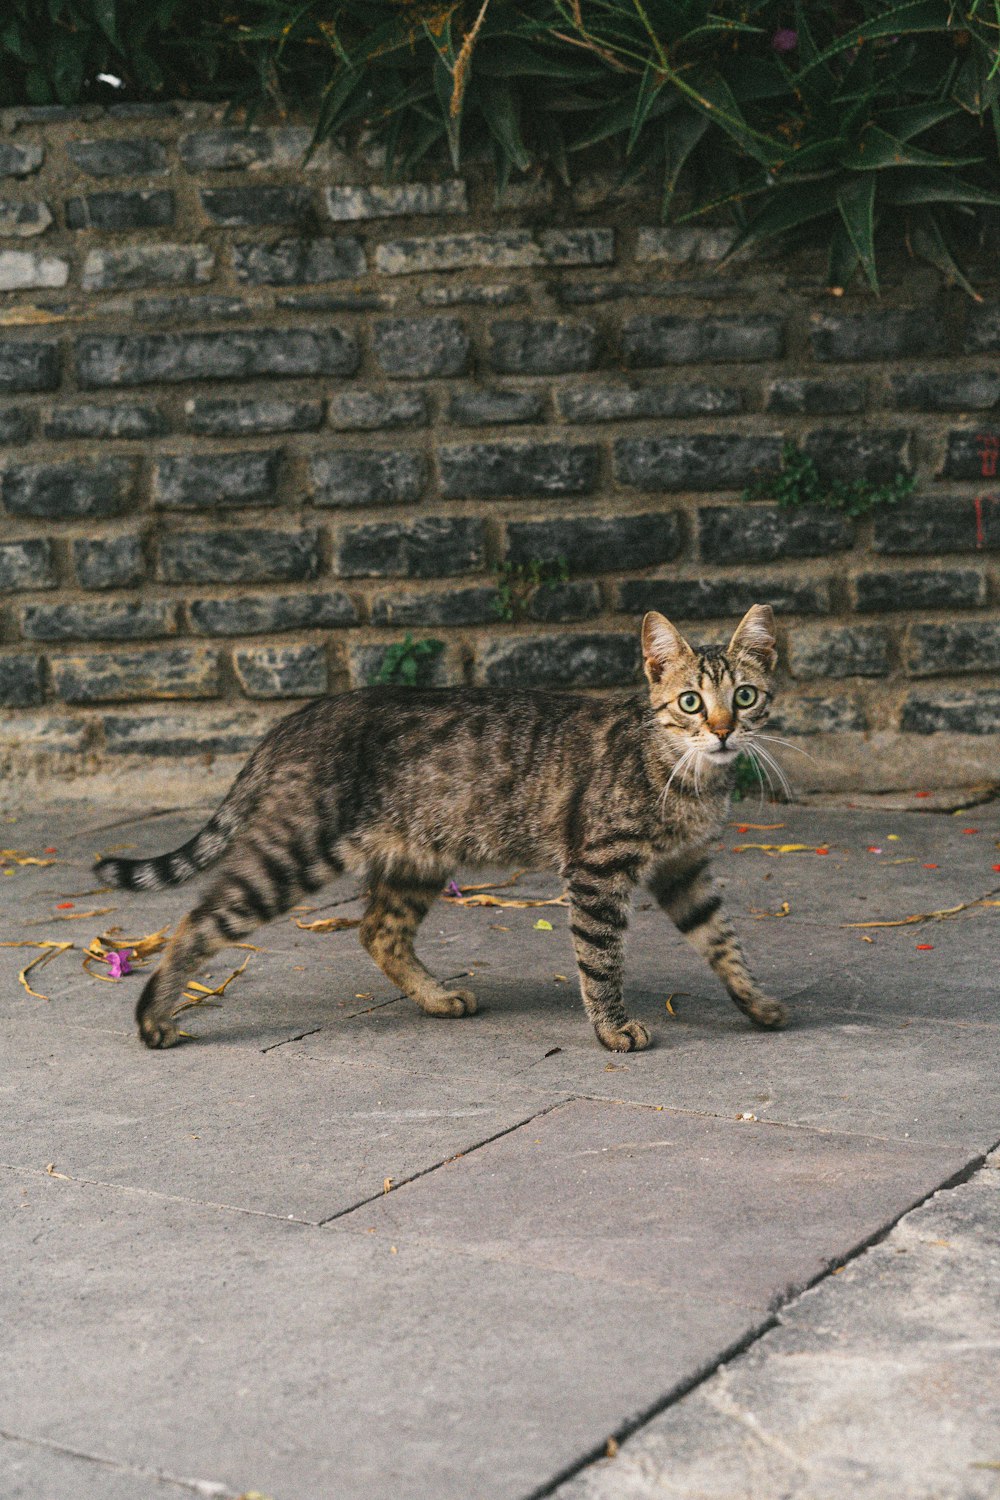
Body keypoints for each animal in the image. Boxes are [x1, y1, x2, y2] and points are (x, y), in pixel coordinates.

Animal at [97, 603, 791, 1050]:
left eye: (745, 697)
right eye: (691, 702)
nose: (723, 731)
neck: (687, 777)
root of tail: (296, 717)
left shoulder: (684, 869)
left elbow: (722, 941)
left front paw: (756, 1001)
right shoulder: (597, 869)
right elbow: (600, 958)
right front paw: (612, 1028)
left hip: (418, 858)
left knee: (378, 931)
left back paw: (436, 997)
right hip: (292, 854)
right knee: (196, 921)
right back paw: (154, 1017)